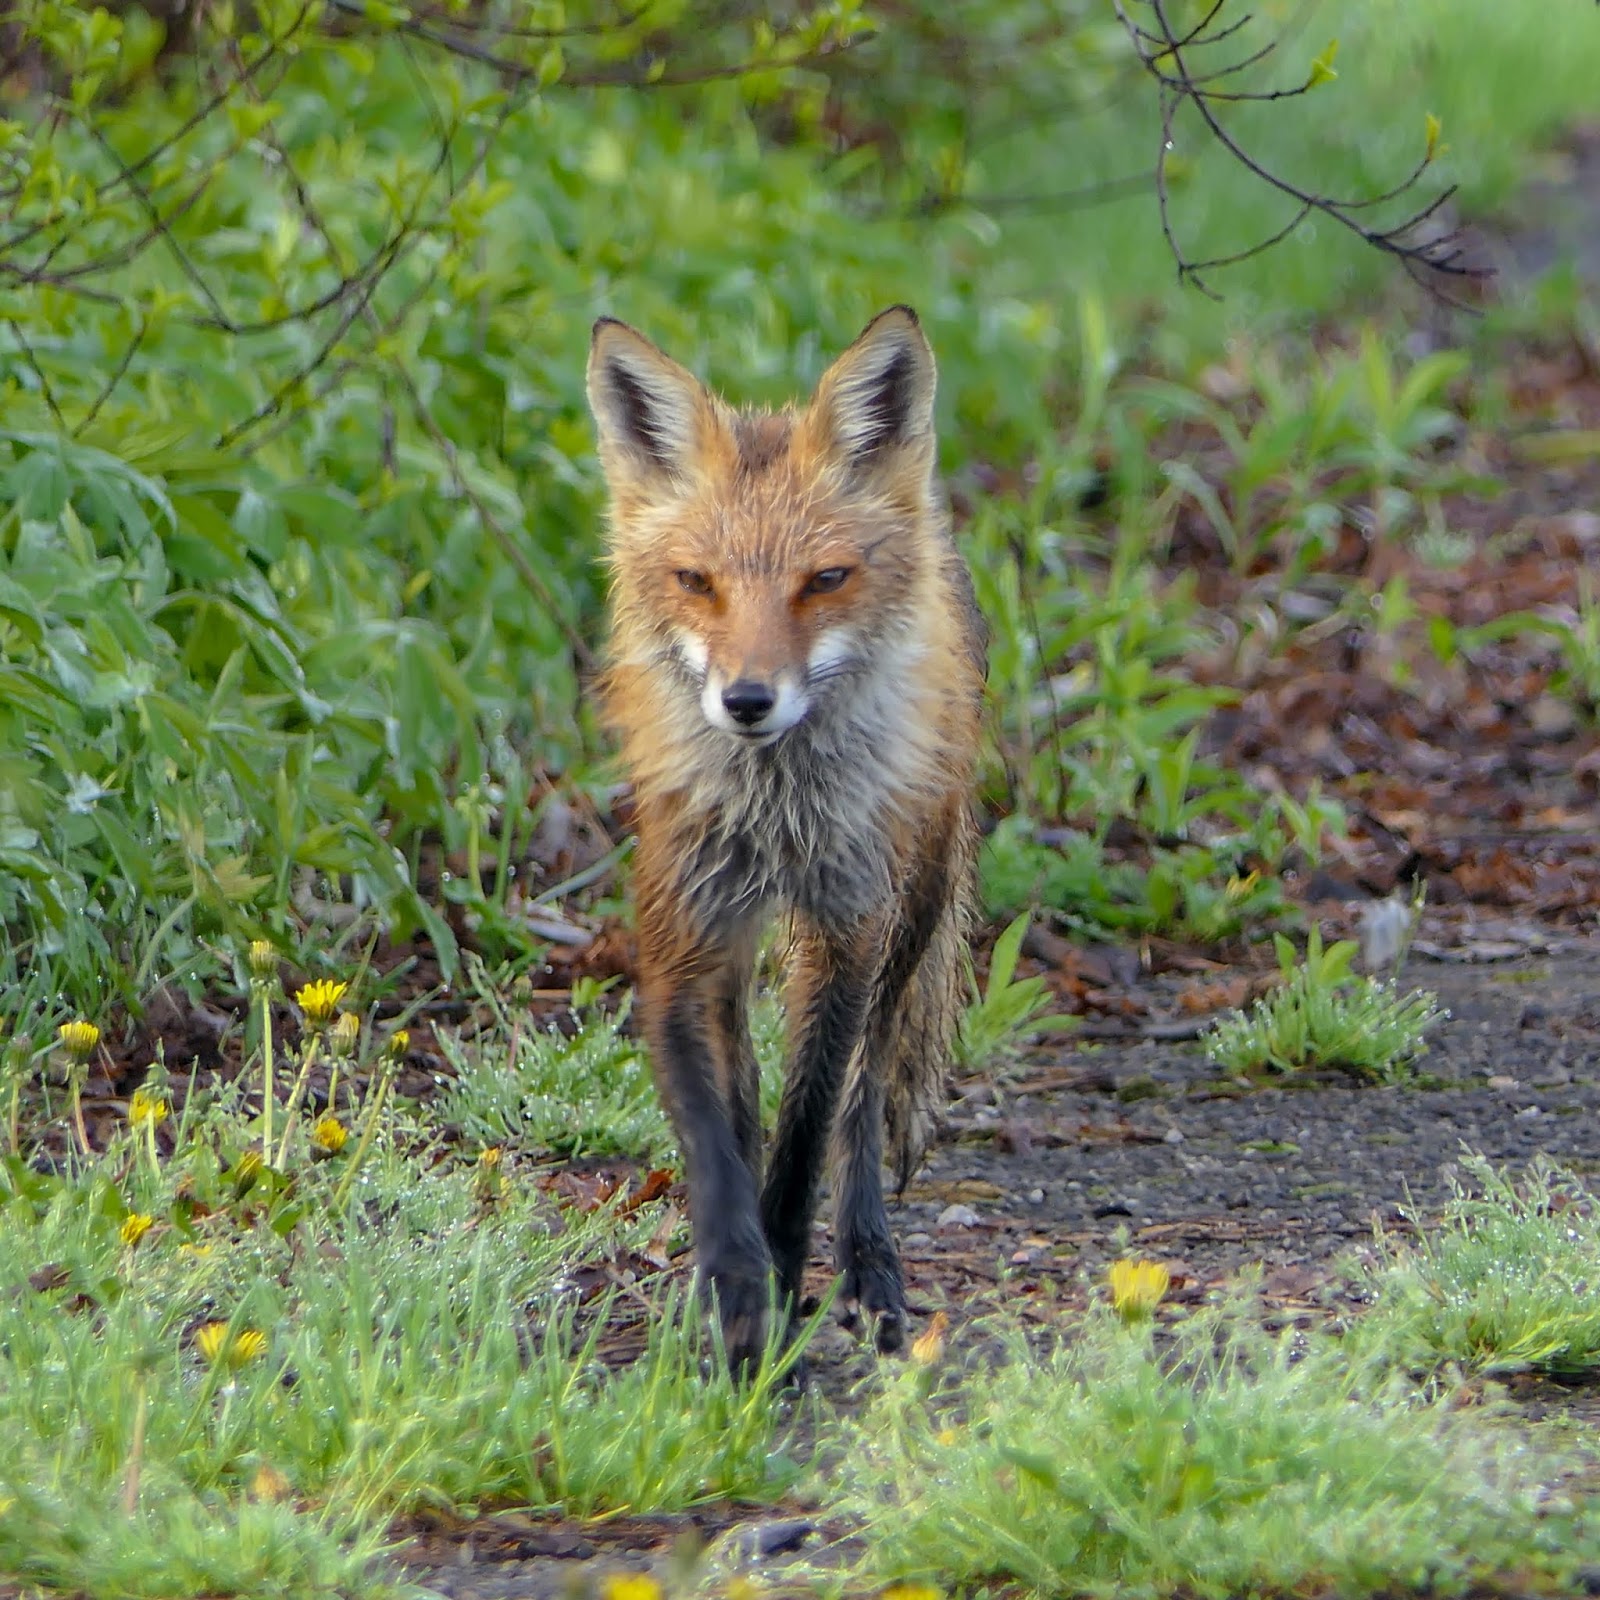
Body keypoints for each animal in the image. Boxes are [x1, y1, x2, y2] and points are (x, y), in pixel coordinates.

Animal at [585, 306, 986, 1371]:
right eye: (697, 582)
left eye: (825, 581)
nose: (748, 700)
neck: (778, 816)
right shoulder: (681, 936)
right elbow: (715, 1137)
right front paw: (731, 1292)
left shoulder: (850, 929)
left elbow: (812, 1124)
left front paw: (780, 1269)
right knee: (749, 1082)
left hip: (915, 900)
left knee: (865, 1094)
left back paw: (868, 1270)